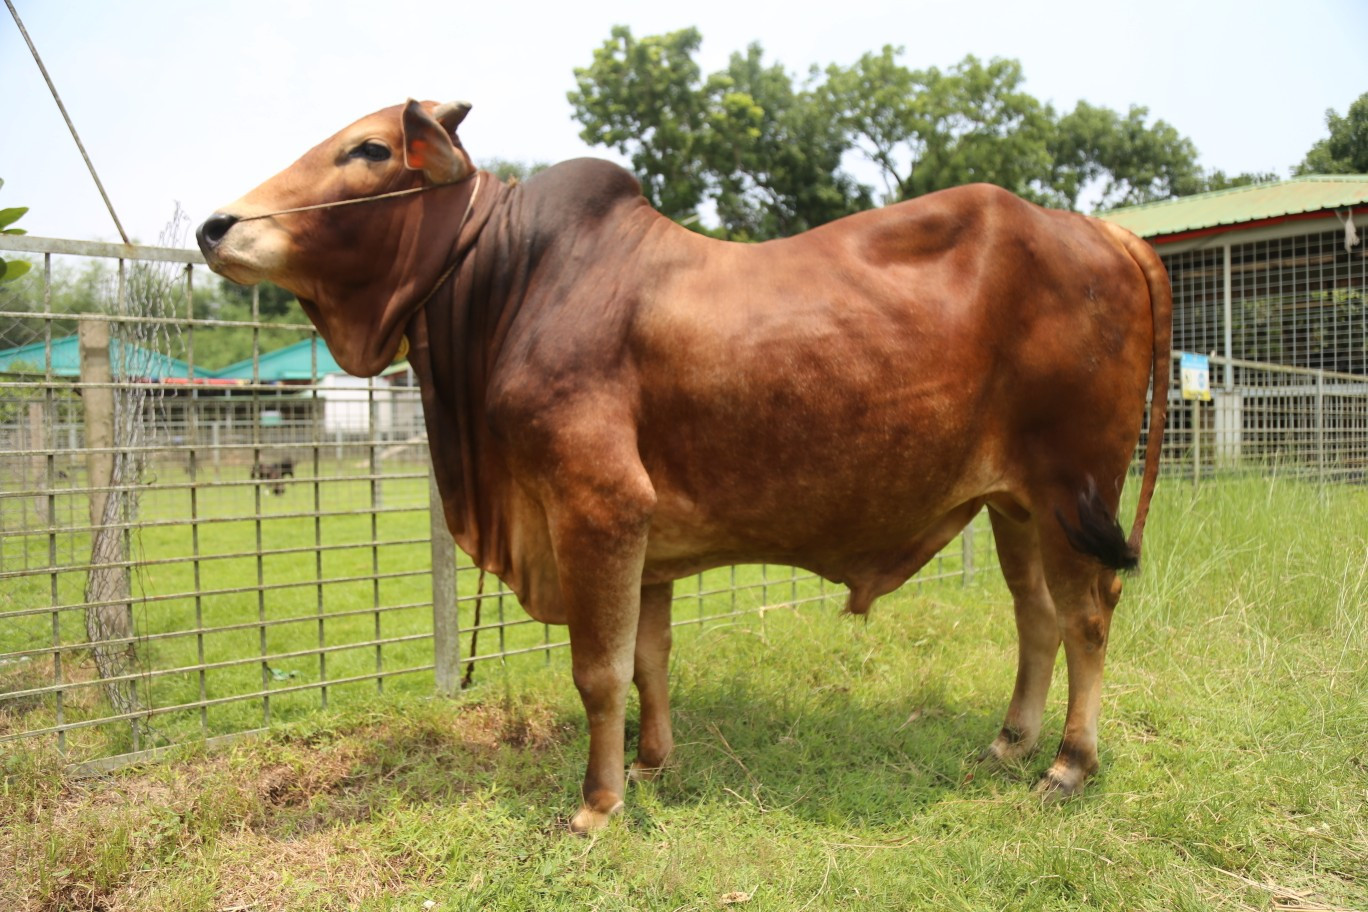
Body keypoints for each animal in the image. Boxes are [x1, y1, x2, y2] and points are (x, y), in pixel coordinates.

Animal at [198, 99, 1171, 833]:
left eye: (368, 149)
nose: (215, 225)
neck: (511, 281)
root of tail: (1105, 233)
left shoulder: (598, 509)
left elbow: (599, 671)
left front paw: (598, 806)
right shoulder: (647, 541)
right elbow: (648, 658)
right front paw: (653, 765)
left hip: (1076, 492)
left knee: (1089, 618)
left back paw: (1069, 764)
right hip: (1016, 505)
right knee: (1036, 617)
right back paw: (1010, 741)